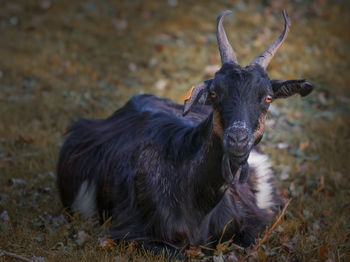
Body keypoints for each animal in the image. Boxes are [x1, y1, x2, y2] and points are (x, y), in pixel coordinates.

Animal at [56, 10, 314, 252]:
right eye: (214, 93)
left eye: (268, 97)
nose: (237, 139)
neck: (196, 200)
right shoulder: (130, 234)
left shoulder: (253, 220)